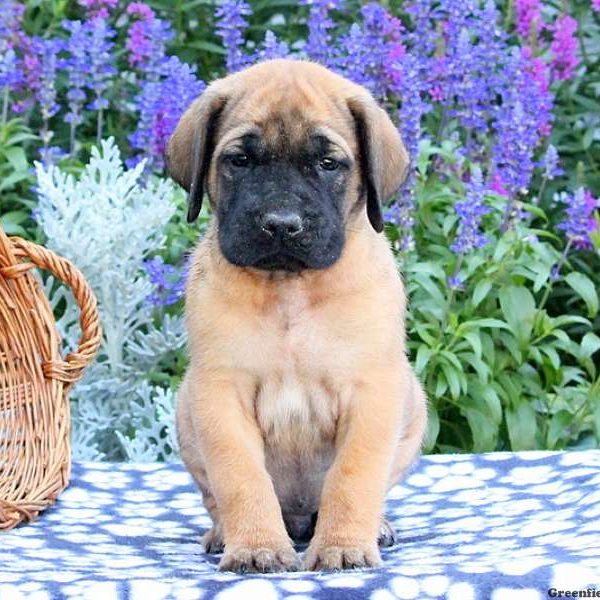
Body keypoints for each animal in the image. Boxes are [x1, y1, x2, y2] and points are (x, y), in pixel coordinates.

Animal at [168, 58, 426, 576]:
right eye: (240, 161)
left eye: (327, 164)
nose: (282, 225)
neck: (291, 289)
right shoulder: (221, 393)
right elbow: (241, 477)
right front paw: (256, 547)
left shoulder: (372, 392)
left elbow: (354, 476)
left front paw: (344, 547)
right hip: (186, 410)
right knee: (215, 496)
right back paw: (223, 533)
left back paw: (375, 527)